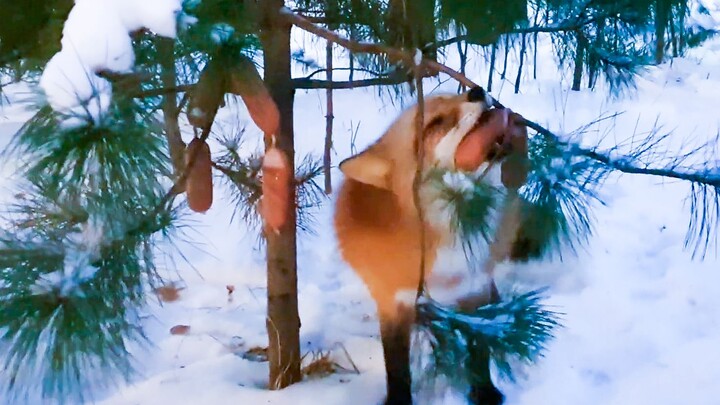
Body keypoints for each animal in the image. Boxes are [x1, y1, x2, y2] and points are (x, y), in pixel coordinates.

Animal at [333, 86, 529, 405]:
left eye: (457, 94)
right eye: (434, 123)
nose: (476, 91)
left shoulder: (474, 287)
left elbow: (479, 349)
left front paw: (484, 393)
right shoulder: (393, 301)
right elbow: (397, 365)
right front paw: (398, 401)